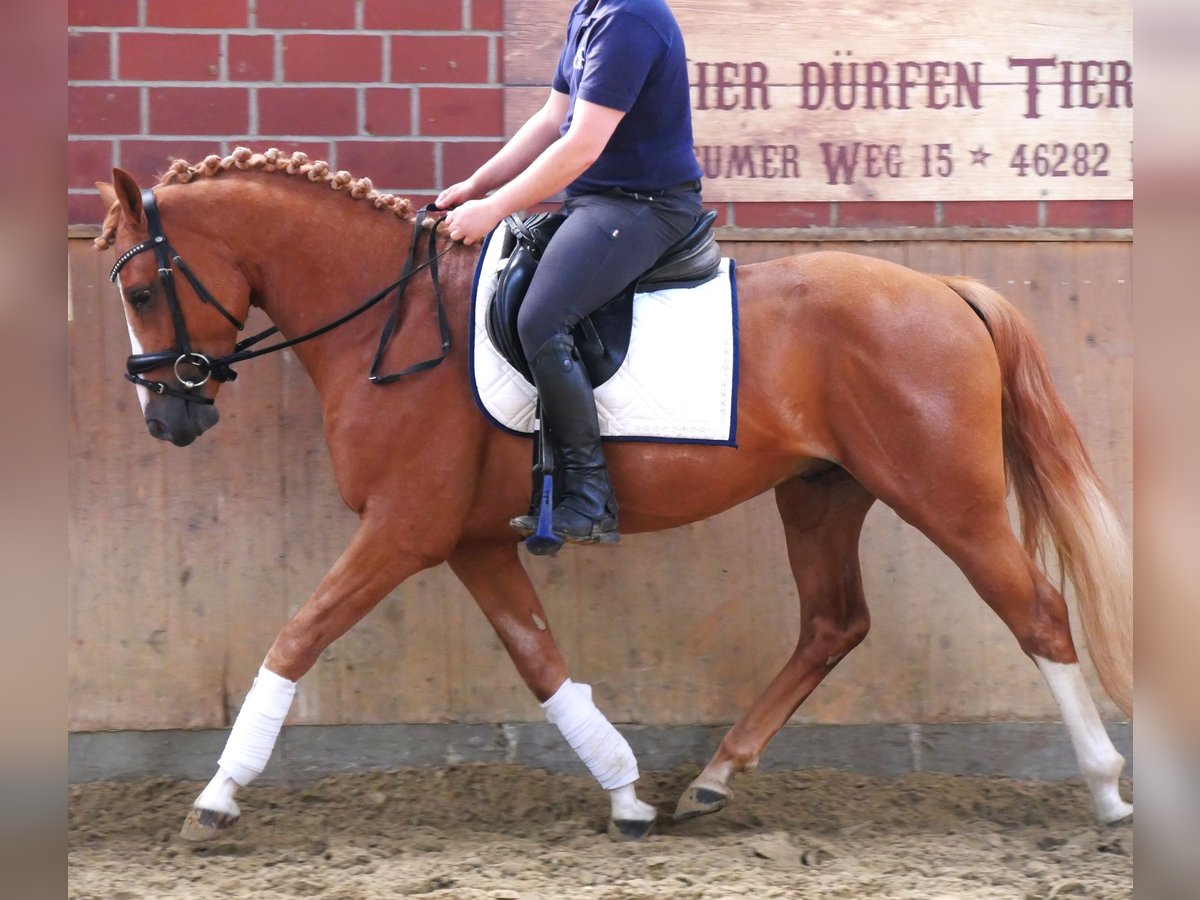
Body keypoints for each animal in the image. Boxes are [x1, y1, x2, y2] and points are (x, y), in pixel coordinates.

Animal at [96, 144, 1132, 844]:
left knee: (1038, 613)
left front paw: (215, 797)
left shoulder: (403, 530)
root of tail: (948, 290)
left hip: (946, 496)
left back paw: (1109, 788)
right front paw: (627, 793)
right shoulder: (471, 542)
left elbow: (297, 636)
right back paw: (711, 779)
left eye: (143, 290)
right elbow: (541, 660)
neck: (390, 324)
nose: (166, 419)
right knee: (834, 623)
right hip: (820, 495)